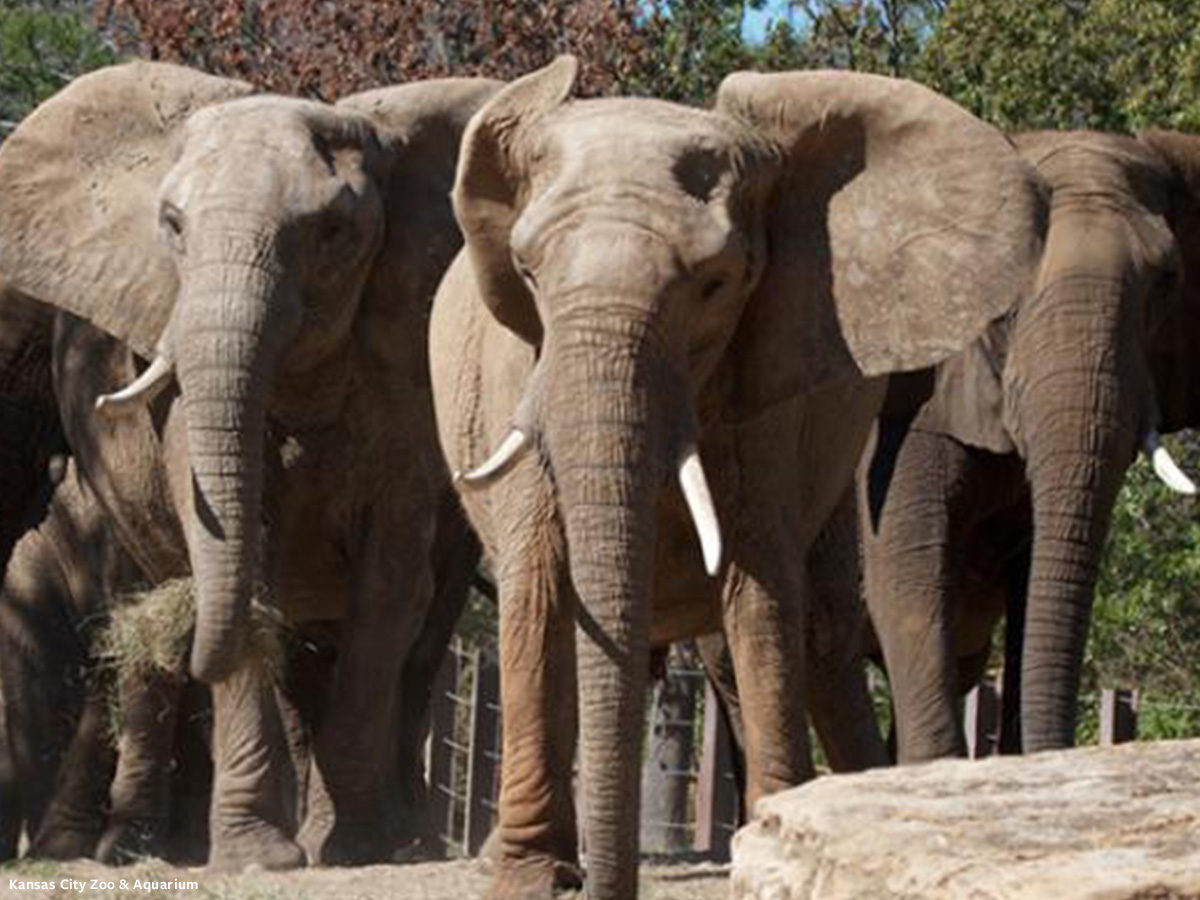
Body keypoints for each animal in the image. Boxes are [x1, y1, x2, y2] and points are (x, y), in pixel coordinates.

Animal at [0, 62, 499, 869]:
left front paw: (361, 849)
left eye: (334, 233)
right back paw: (129, 848)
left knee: (417, 640)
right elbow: (239, 558)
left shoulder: (406, 370)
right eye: (172, 226)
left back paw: (403, 841)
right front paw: (262, 856)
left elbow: (391, 583)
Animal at [429, 56, 1044, 900]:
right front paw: (530, 878)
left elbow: (761, 591)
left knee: (820, 629)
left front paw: (770, 838)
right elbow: (539, 588)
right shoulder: (516, 371)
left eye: (715, 284)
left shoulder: (772, 384)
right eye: (527, 273)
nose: (602, 885)